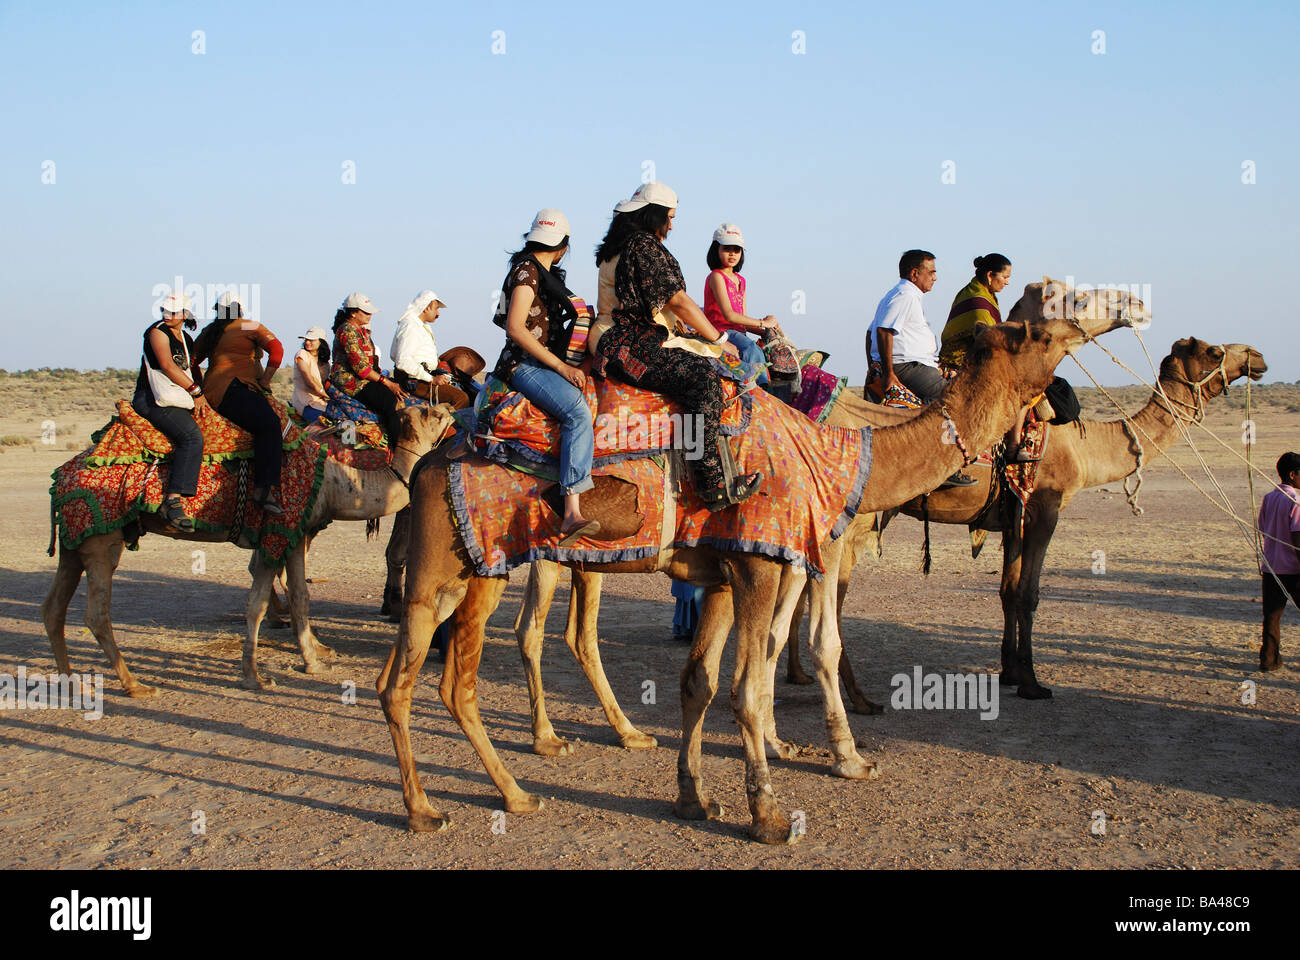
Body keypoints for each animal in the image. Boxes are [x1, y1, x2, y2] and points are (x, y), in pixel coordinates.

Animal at [42, 403, 453, 695]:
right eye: (430, 412)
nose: (451, 409)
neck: (337, 479)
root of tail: (61, 475)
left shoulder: (296, 532)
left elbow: (302, 596)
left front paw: (315, 658)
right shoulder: (279, 529)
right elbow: (255, 604)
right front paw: (255, 676)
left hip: (76, 541)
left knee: (53, 608)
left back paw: (69, 682)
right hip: (102, 540)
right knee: (96, 614)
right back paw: (134, 685)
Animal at [377, 295, 1137, 843]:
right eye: (1037, 331)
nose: (1107, 315)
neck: (836, 453)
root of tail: (434, 456)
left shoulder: (720, 572)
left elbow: (699, 683)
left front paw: (694, 798)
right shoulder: (762, 562)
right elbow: (752, 683)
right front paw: (773, 811)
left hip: (458, 574)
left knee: (410, 675)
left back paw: (505, 787)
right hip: (472, 563)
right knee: (438, 682)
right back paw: (446, 806)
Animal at [784, 336, 1267, 702]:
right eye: (1214, 350)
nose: (1257, 357)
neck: (1083, 444)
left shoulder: (1011, 517)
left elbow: (1007, 592)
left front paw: (1011, 671)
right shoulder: (1044, 511)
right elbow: (1030, 594)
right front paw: (1033, 682)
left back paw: (805, 678)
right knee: (830, 595)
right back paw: (853, 695)